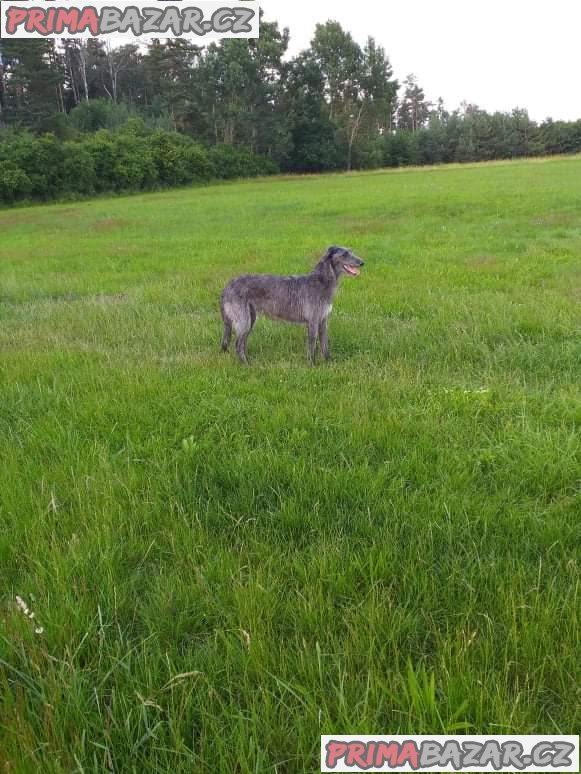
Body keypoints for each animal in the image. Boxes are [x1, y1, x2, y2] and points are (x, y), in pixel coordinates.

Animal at [221, 247, 362, 366]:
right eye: (345, 254)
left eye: (351, 251)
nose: (362, 262)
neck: (321, 281)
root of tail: (227, 286)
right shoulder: (313, 322)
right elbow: (312, 345)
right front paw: (312, 365)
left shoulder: (323, 321)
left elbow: (324, 344)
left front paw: (329, 362)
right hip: (243, 319)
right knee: (238, 344)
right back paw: (246, 365)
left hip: (250, 318)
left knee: (242, 342)